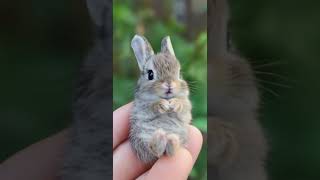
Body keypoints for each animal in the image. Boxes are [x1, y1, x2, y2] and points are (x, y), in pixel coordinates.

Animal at [129, 35, 191, 163]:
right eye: (150, 74)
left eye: (179, 73)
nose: (169, 84)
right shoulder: (141, 107)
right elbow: (150, 106)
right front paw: (162, 105)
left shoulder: (186, 107)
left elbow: (183, 106)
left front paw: (175, 104)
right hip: (140, 140)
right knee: (154, 151)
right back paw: (160, 138)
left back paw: (172, 140)